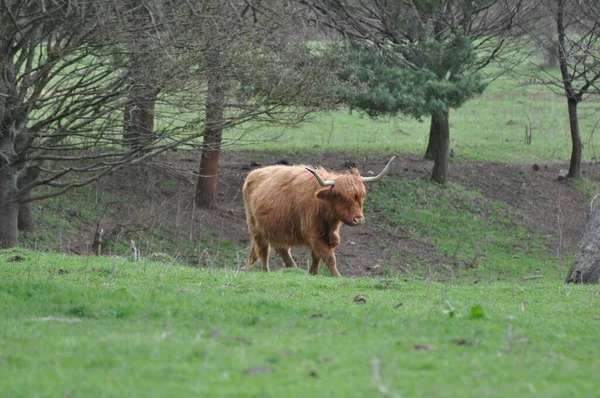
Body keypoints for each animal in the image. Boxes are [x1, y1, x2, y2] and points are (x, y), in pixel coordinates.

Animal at [241, 156, 396, 276]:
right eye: (341, 198)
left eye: (361, 196)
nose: (358, 219)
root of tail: (253, 173)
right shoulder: (314, 235)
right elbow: (328, 257)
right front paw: (338, 276)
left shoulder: (328, 236)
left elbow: (317, 256)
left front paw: (313, 273)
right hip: (256, 228)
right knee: (263, 250)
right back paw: (266, 271)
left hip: (277, 229)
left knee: (281, 249)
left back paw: (294, 269)